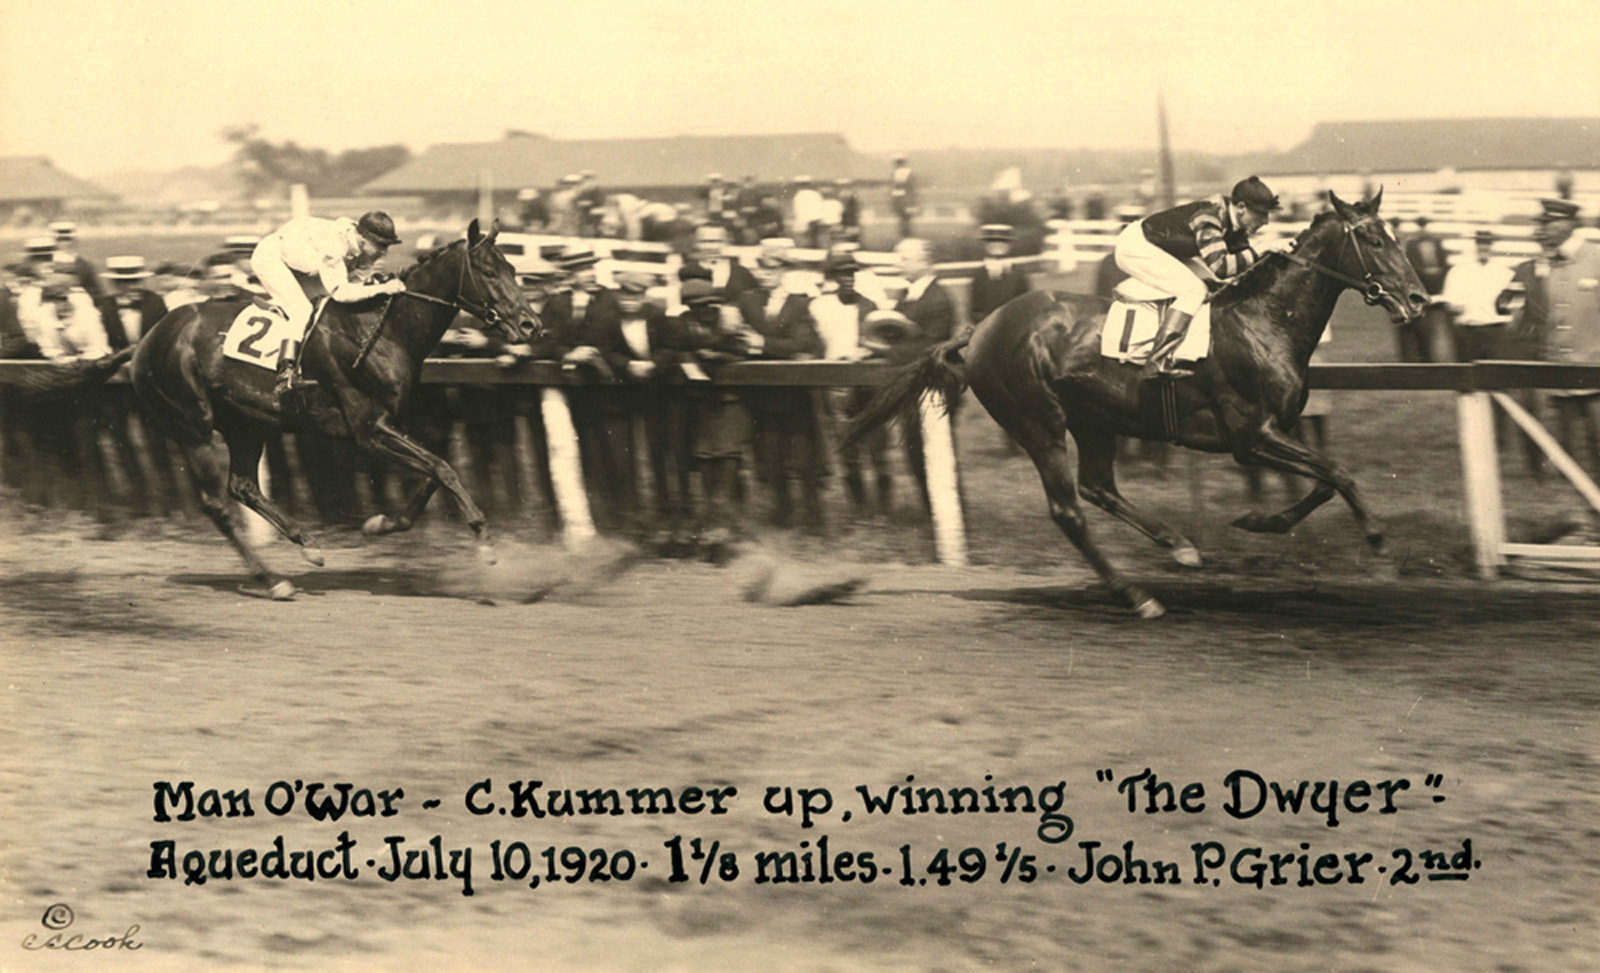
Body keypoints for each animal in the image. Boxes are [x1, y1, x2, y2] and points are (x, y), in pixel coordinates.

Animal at [844, 190, 1433, 614]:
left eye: (1394, 235)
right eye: (1372, 239)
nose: (1418, 299)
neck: (1262, 320)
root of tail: (980, 328)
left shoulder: (1273, 434)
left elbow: (1324, 481)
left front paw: (1257, 522)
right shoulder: (1252, 436)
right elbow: (1338, 474)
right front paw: (1380, 547)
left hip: (1094, 420)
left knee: (1098, 487)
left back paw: (1179, 547)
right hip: (1038, 422)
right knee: (1069, 509)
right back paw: (1137, 595)